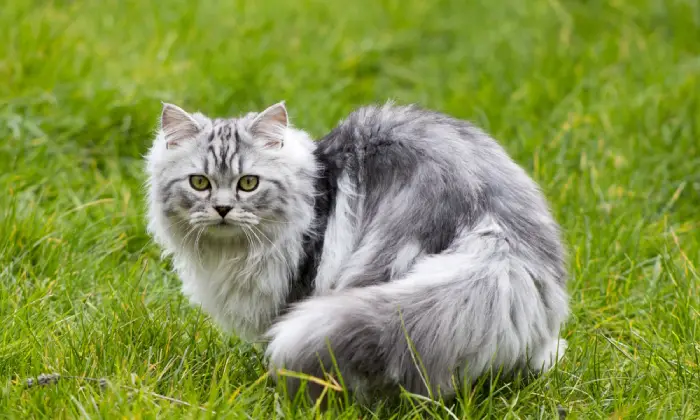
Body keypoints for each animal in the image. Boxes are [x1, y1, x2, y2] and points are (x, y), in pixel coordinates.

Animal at [145, 100, 572, 402]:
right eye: (199, 183)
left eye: (248, 183)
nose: (221, 209)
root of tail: (496, 220)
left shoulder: (297, 286)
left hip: (379, 264)